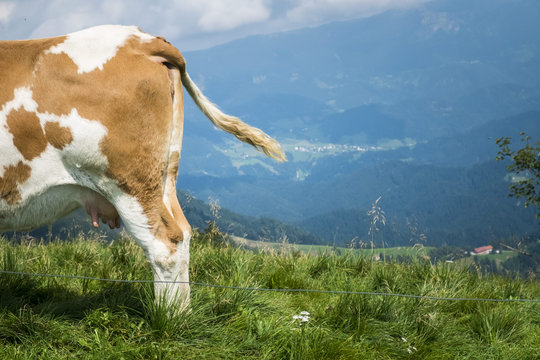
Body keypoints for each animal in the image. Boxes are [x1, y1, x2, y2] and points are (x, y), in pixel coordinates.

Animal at [0, 25, 284, 312]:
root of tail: (141, 39)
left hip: (130, 183)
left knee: (165, 244)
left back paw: (167, 315)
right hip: (165, 175)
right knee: (183, 232)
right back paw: (183, 311)